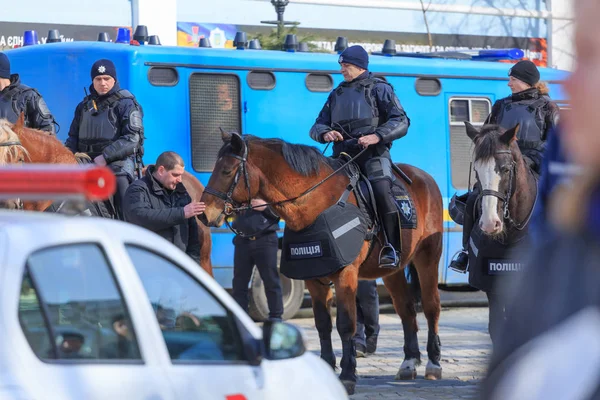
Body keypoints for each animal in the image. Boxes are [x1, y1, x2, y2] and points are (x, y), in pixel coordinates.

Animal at [199, 131, 442, 394]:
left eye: (226, 171)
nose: (203, 213)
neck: (316, 203)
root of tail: (425, 177)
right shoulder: (314, 278)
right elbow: (323, 325)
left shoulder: (345, 275)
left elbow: (345, 324)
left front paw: (348, 375)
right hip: (392, 271)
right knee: (406, 310)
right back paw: (409, 362)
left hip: (428, 258)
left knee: (431, 307)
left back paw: (433, 363)